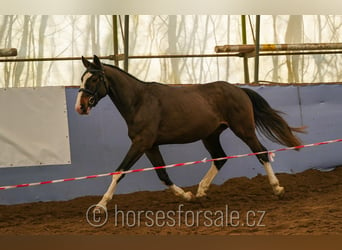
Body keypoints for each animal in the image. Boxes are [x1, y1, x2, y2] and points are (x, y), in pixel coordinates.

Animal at [75, 55, 304, 210]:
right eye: (82, 78)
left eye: (93, 79)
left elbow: (120, 172)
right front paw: (186, 196)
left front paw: (100, 206)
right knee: (220, 157)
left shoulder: (140, 143)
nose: (80, 107)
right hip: (210, 135)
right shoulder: (150, 146)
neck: (139, 101)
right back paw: (201, 191)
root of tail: (238, 89)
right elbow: (162, 174)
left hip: (244, 129)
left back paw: (277, 189)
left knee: (261, 153)